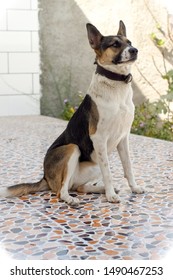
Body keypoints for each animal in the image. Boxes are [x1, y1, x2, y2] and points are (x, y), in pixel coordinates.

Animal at [0, 20, 145, 205]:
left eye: (129, 42)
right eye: (115, 44)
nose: (134, 50)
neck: (116, 86)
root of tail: (45, 177)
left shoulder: (123, 138)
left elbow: (128, 167)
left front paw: (133, 188)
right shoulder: (99, 138)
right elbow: (108, 173)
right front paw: (111, 195)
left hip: (94, 164)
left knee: (79, 187)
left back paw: (98, 189)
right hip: (72, 149)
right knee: (61, 191)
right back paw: (72, 199)